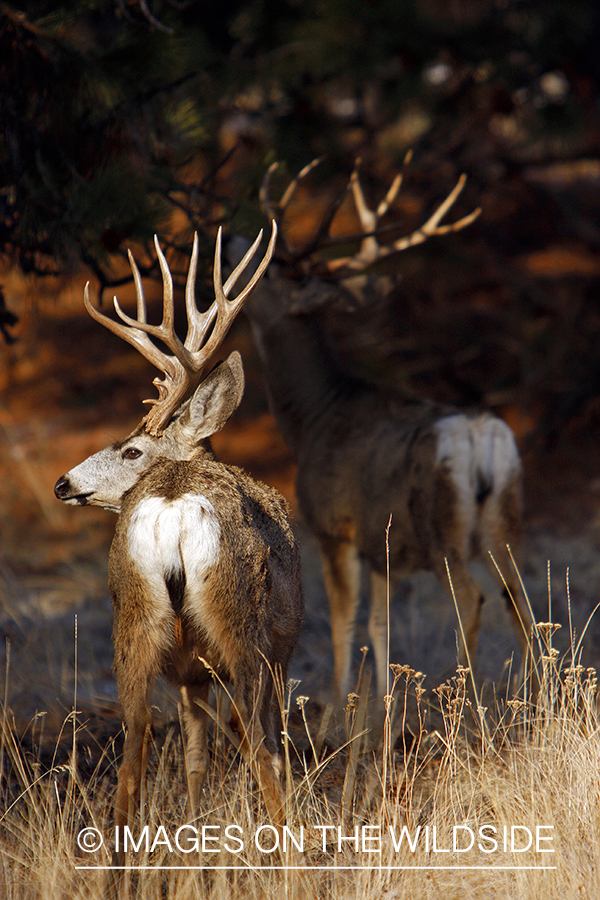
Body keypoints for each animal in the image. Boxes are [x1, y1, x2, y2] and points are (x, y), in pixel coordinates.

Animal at [54, 222, 304, 837]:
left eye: (132, 449)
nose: (63, 483)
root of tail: (170, 506)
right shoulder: (284, 645)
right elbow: (274, 744)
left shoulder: (192, 672)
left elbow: (193, 755)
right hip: (239, 618)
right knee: (252, 732)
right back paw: (292, 846)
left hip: (135, 610)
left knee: (137, 734)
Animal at [227, 155, 535, 714]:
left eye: (273, 270)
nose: (235, 240)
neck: (315, 416)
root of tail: (480, 436)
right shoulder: (380, 546)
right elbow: (378, 625)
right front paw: (380, 708)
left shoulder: (334, 527)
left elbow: (343, 624)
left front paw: (338, 710)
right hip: (505, 523)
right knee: (521, 601)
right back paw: (530, 702)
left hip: (443, 530)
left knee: (472, 601)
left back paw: (465, 704)